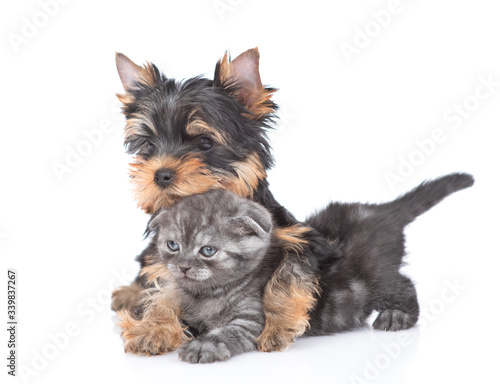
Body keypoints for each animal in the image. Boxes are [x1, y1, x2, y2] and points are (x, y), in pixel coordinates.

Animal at [148, 189, 282, 364]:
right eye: (173, 245)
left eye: (208, 250)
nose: (183, 267)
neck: (208, 293)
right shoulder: (188, 314)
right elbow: (178, 323)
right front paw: (153, 331)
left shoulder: (251, 318)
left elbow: (229, 331)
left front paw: (203, 345)